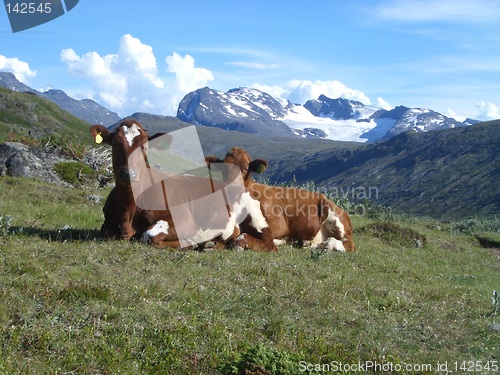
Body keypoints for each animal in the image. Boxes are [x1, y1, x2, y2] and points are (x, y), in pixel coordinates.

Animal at [91, 120, 278, 251]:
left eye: (144, 147)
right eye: (116, 144)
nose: (128, 173)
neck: (128, 210)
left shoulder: (184, 219)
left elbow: (149, 235)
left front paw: (190, 242)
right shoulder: (107, 223)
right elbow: (106, 231)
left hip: (255, 217)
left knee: (269, 244)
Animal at [206, 148, 356, 253]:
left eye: (245, 168)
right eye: (223, 169)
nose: (233, 187)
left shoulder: (278, 227)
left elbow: (243, 237)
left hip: (335, 218)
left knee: (348, 243)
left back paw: (328, 244)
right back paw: (307, 244)